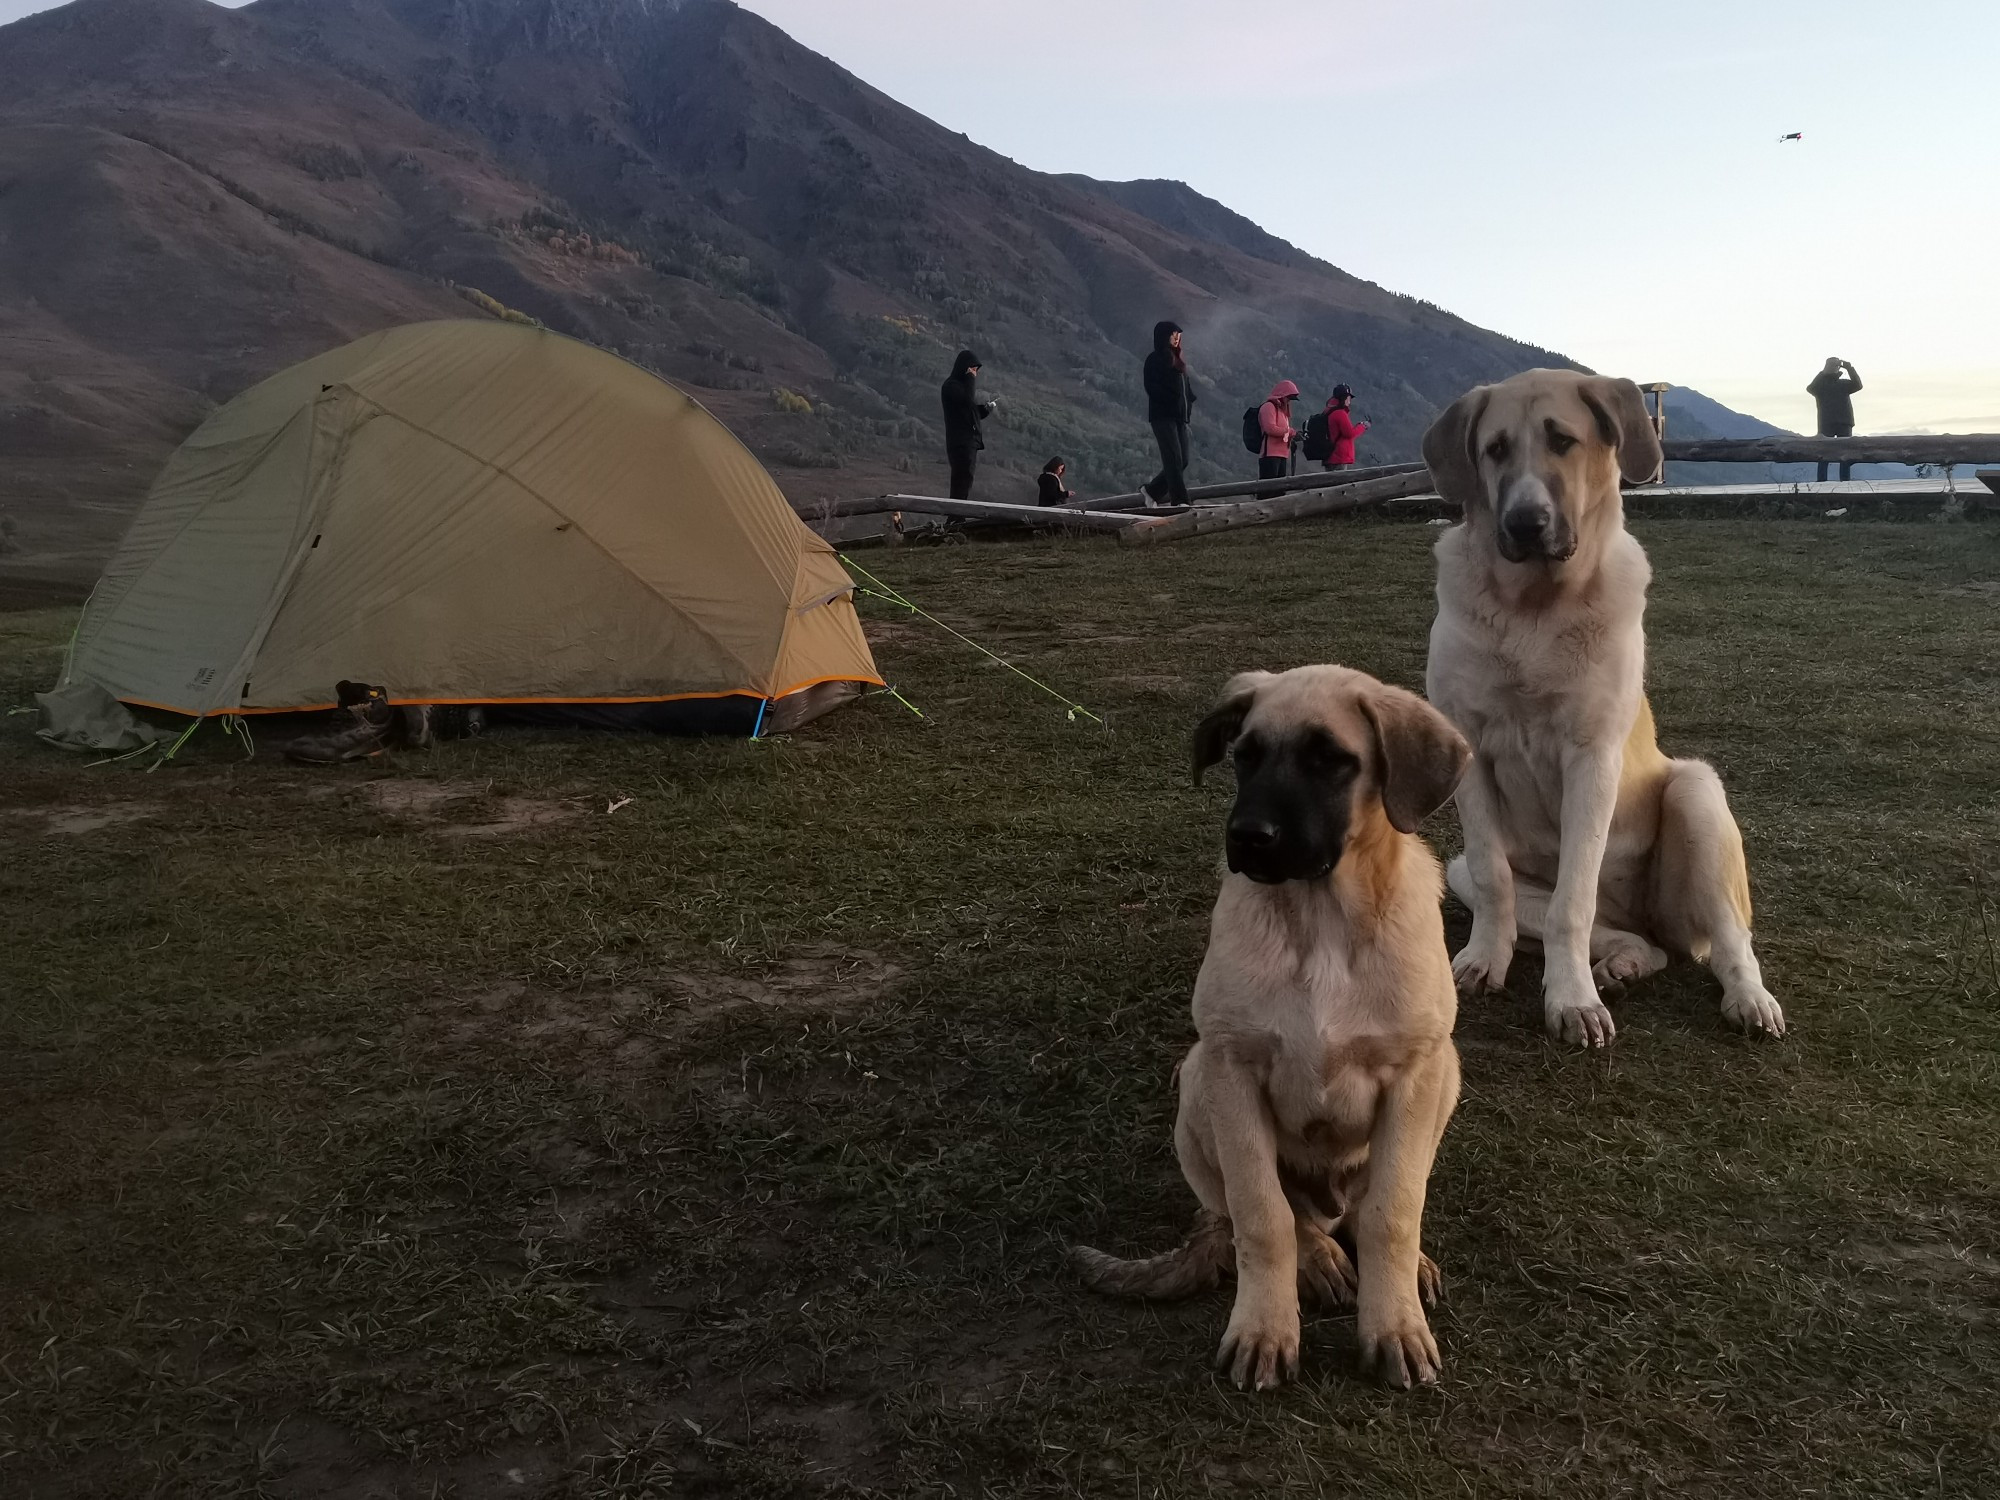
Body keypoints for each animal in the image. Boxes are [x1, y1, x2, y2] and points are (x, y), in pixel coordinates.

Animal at [1072, 664, 1480, 1392]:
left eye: (1330, 760)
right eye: (1244, 756)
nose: (1247, 837)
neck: (1321, 921)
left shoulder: (1415, 1070)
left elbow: (1394, 1210)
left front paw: (1395, 1325)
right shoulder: (1232, 1068)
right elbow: (1263, 1216)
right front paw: (1264, 1329)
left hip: (1447, 1076)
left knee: (1363, 1207)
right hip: (1195, 1084)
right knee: (1274, 1216)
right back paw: (1317, 1259)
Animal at [1424, 368, 1784, 1048]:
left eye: (1562, 440)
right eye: (1495, 449)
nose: (1525, 524)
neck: (1533, 609)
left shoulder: (1592, 756)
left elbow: (1573, 899)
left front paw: (1571, 1000)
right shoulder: (1469, 748)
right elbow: (1493, 874)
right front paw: (1485, 960)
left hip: (1695, 793)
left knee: (1729, 941)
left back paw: (1750, 999)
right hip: (1452, 869)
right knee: (1634, 940)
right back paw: (1623, 962)